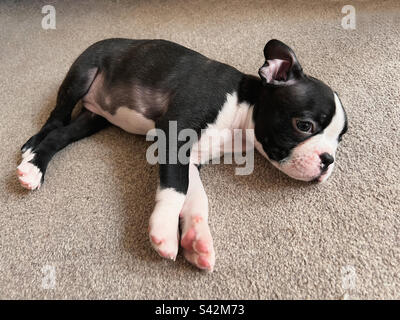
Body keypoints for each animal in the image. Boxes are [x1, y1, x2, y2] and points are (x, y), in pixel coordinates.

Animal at [17, 38, 346, 272]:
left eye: (340, 139)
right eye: (304, 125)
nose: (328, 160)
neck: (241, 108)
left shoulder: (190, 159)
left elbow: (197, 197)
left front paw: (197, 239)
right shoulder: (172, 138)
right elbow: (176, 189)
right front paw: (164, 229)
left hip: (94, 119)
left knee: (62, 135)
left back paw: (37, 163)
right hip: (82, 75)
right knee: (55, 120)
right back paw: (32, 156)